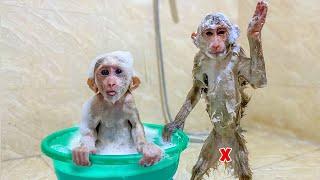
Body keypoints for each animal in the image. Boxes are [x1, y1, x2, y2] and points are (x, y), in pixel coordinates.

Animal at [162, 0, 268, 179]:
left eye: (221, 32)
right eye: (209, 33)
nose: (216, 42)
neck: (218, 60)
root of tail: (224, 140)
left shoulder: (237, 56)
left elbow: (258, 79)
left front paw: (255, 28)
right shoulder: (199, 61)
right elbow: (197, 88)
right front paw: (176, 124)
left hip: (236, 143)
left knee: (244, 172)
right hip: (212, 142)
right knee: (199, 168)